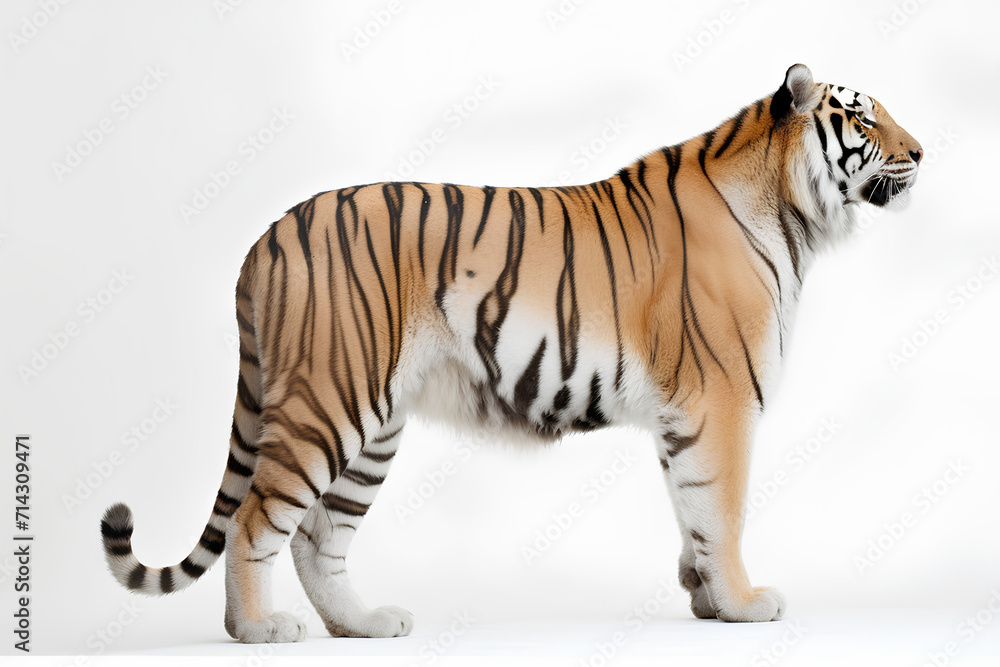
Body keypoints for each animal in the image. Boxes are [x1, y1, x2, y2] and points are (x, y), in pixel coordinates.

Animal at [100, 64, 921, 643]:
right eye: (861, 115)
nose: (922, 150)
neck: (793, 212)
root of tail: (266, 235)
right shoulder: (721, 400)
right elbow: (723, 507)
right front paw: (746, 604)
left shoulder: (683, 414)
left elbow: (691, 507)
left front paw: (706, 599)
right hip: (328, 399)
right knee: (256, 520)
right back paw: (256, 629)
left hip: (376, 425)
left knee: (317, 536)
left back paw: (362, 625)